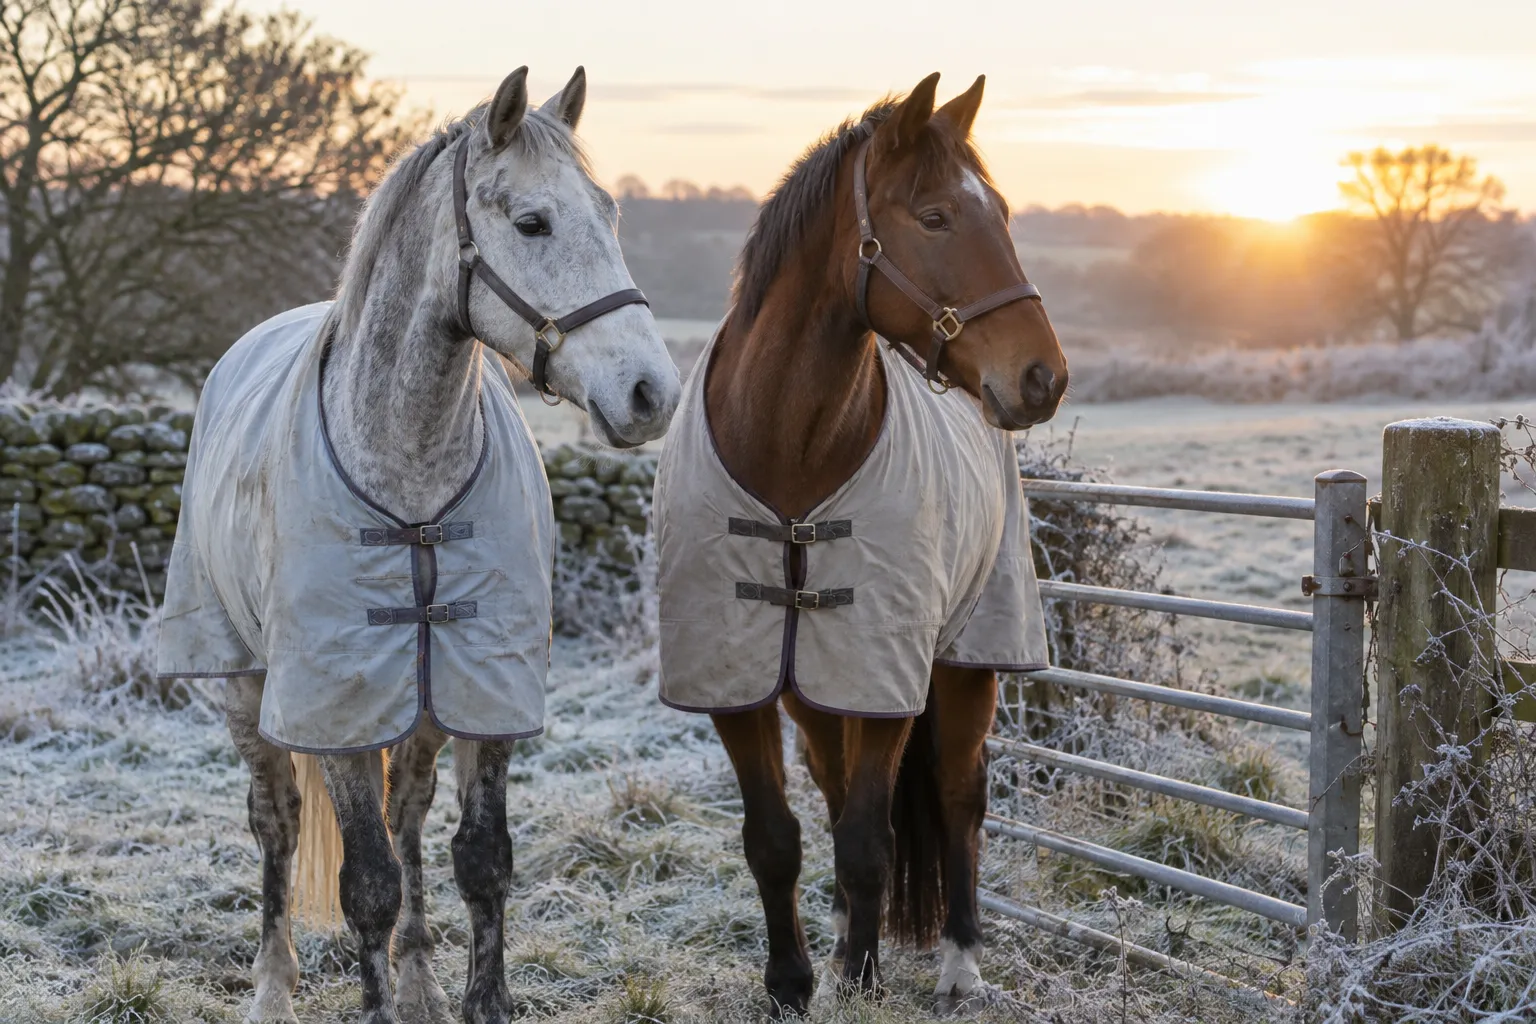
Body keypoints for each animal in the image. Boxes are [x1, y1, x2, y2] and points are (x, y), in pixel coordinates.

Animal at [156, 67, 681, 1024]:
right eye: (532, 222)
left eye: (611, 213)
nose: (649, 393)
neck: (411, 472)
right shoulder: (335, 703)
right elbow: (366, 881)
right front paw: (371, 1002)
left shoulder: (485, 688)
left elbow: (480, 861)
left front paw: (476, 1000)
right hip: (245, 685)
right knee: (278, 820)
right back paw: (274, 985)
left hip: (424, 708)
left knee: (408, 816)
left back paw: (419, 982)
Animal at [651, 73, 1067, 1017]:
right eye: (936, 216)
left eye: (1004, 212)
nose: (1043, 378)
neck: (789, 453)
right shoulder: (740, 682)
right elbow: (776, 837)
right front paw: (793, 982)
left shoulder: (887, 677)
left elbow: (871, 839)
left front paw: (864, 980)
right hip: (815, 689)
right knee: (836, 788)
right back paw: (844, 935)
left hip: (966, 662)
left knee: (958, 796)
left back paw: (957, 960)